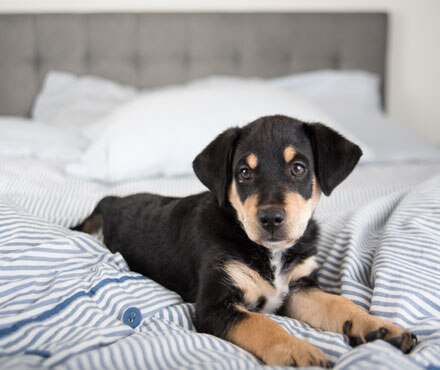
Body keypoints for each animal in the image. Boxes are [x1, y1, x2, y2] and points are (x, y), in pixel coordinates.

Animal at [75, 115, 416, 368]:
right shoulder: (214, 306)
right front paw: (297, 350)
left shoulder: (299, 289)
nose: (271, 218)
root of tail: (110, 201)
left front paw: (381, 328)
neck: (270, 254)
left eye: (298, 168)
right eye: (243, 173)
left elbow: (339, 304)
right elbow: (261, 324)